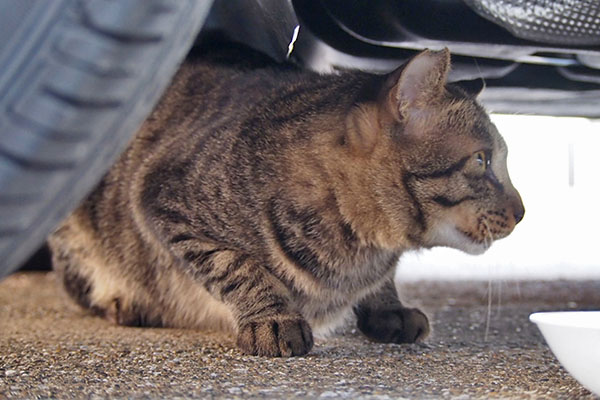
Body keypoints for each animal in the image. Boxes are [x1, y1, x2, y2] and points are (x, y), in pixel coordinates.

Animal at [49, 43, 524, 356]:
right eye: (482, 161)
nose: (523, 212)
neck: (362, 246)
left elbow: (385, 282)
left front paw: (388, 307)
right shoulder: (159, 197)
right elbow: (238, 267)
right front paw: (272, 319)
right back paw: (122, 300)